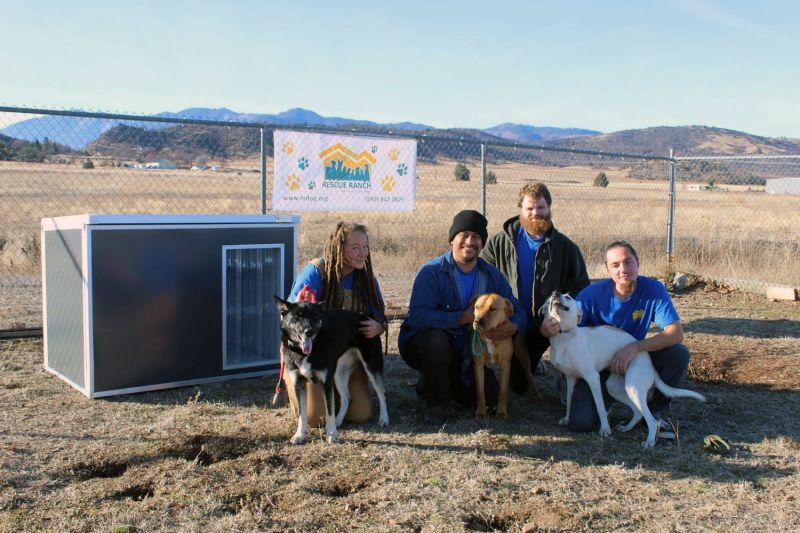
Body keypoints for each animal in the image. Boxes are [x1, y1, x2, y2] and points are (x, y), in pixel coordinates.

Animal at [544, 288, 708, 446]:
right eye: (554, 295)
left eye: (568, 297)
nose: (555, 293)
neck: (565, 337)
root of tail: (650, 364)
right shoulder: (570, 378)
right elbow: (569, 401)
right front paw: (567, 418)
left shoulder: (592, 378)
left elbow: (600, 407)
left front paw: (605, 429)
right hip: (617, 388)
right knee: (638, 412)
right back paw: (627, 428)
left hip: (633, 388)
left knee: (651, 421)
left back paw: (649, 441)